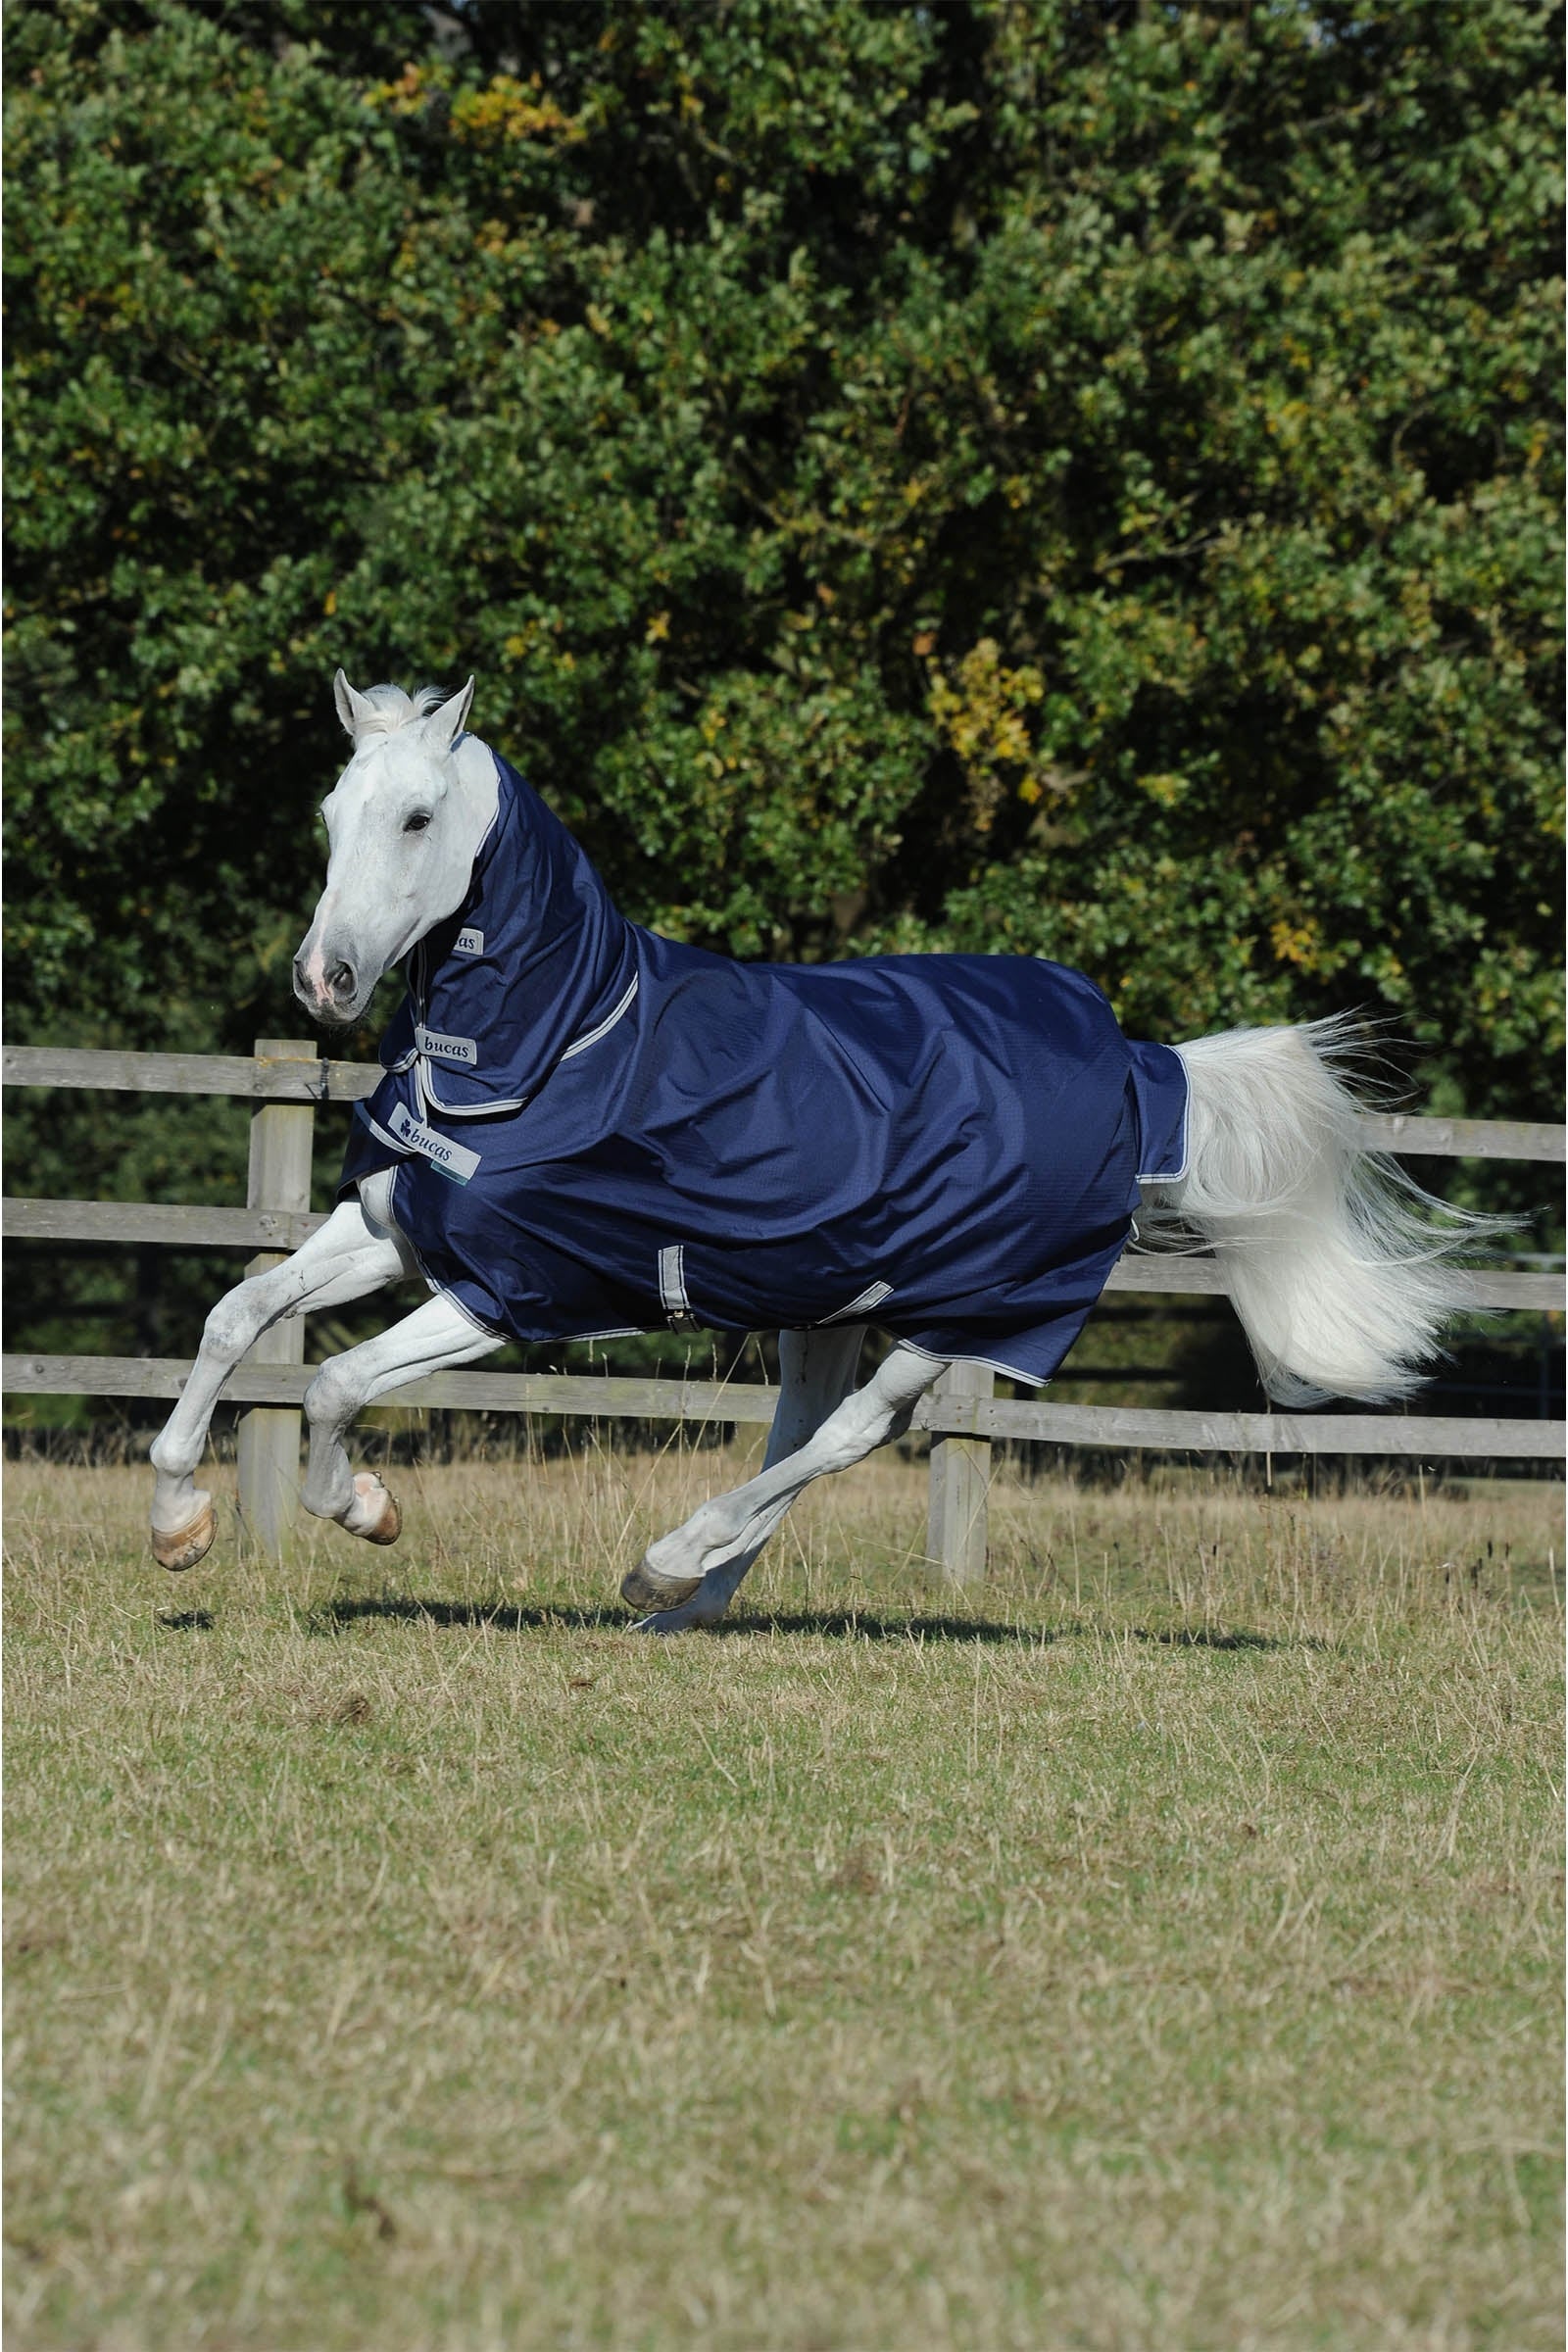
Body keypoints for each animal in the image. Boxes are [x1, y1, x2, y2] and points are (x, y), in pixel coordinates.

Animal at [149, 673, 1483, 1630]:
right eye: (330, 815)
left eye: (419, 816)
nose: (323, 979)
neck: (559, 1039)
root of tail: (1138, 1064)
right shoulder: (397, 1230)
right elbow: (234, 1314)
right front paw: (178, 1522)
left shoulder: (510, 1293)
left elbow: (332, 1384)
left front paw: (363, 1510)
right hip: (829, 1298)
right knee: (800, 1436)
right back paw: (680, 1605)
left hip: (968, 1309)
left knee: (850, 1436)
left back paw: (666, 1562)